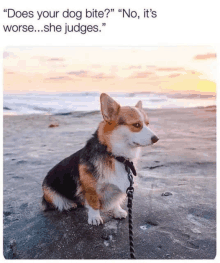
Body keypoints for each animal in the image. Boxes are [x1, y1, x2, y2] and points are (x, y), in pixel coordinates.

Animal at [41, 94, 158, 226]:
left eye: (147, 124)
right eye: (137, 125)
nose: (156, 139)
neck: (116, 156)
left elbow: (115, 201)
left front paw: (117, 211)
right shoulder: (90, 188)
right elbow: (93, 203)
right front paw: (94, 217)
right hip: (49, 192)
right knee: (57, 201)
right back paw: (68, 204)